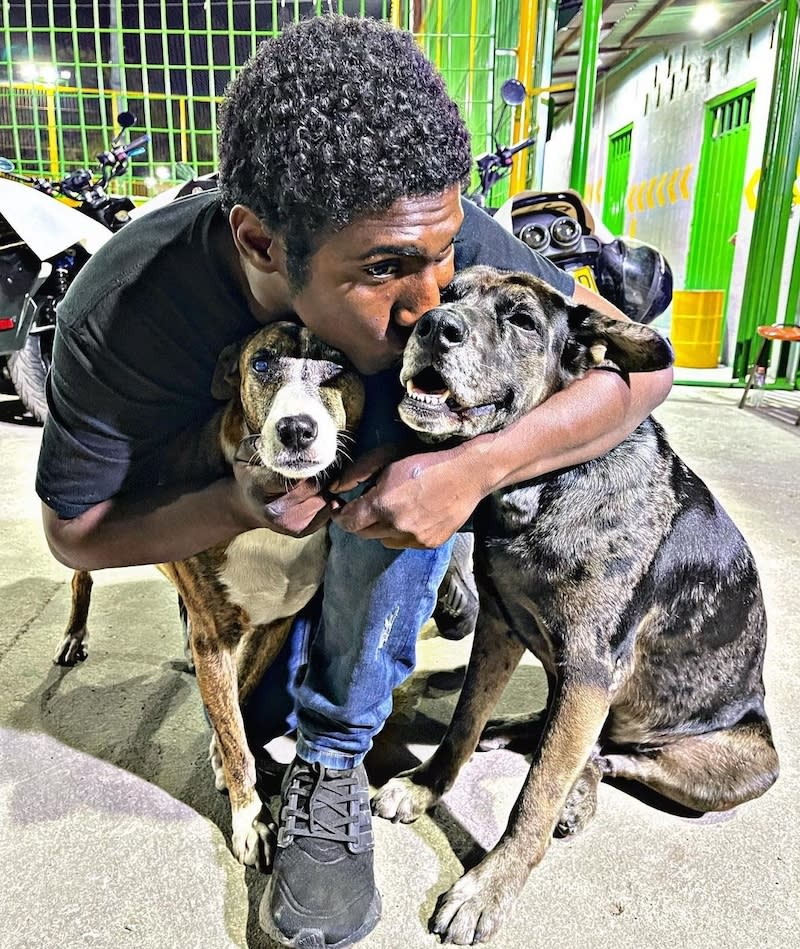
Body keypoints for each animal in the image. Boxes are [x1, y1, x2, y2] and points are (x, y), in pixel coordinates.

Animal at [50, 324, 362, 868]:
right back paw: (73, 636)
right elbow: (237, 735)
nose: (296, 429)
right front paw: (250, 818)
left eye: (340, 364)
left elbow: (237, 700)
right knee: (80, 579)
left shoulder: (273, 626)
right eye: (261, 363)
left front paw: (220, 750)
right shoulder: (215, 636)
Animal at [372, 266, 780, 948]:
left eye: (522, 320)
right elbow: (463, 722)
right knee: (562, 732)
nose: (432, 326)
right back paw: (519, 732)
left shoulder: (589, 670)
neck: (541, 483)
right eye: (449, 293)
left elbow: (535, 796)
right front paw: (429, 785)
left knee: (613, 758)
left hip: (738, 766)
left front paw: (489, 887)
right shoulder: (500, 628)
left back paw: (581, 790)